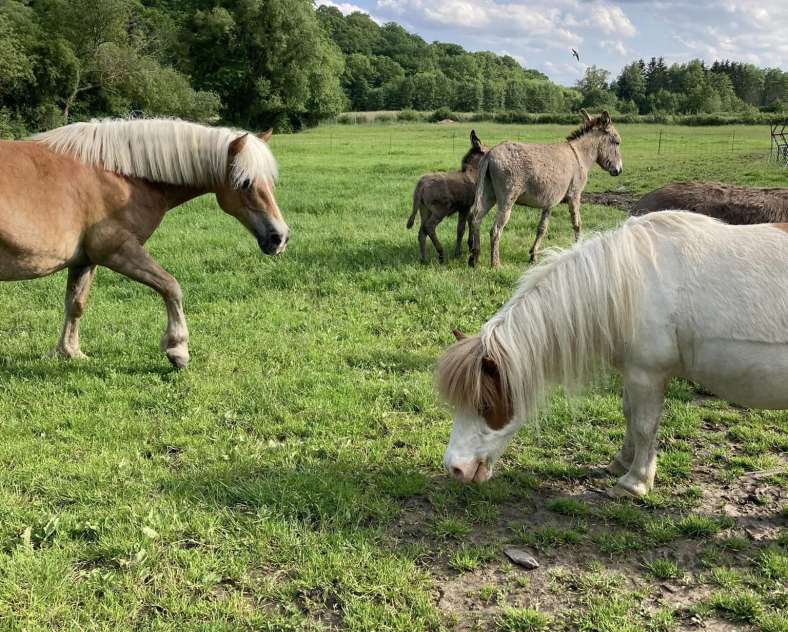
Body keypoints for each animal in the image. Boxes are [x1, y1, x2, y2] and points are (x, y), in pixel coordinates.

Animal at [0, 118, 288, 369]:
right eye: (245, 183)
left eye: (271, 182)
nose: (280, 237)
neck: (119, 175)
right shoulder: (117, 251)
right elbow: (171, 287)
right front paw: (178, 350)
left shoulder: (85, 260)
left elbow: (75, 304)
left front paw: (69, 352)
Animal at [406, 130, 488, 263]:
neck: (472, 175)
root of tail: (420, 185)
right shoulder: (464, 207)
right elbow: (460, 229)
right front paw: (458, 253)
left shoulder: (467, 208)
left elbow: (470, 221)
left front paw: (470, 245)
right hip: (440, 210)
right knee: (429, 227)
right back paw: (440, 253)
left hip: (424, 209)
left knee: (421, 232)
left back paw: (423, 259)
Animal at [437, 211, 788, 498]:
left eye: (484, 405)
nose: (455, 468)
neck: (629, 281)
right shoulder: (633, 373)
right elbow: (629, 415)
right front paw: (621, 462)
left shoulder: (647, 374)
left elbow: (644, 425)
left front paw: (635, 482)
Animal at [468, 110, 623, 268]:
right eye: (617, 142)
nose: (619, 170)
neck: (579, 155)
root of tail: (490, 153)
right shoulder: (574, 195)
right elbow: (577, 224)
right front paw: (578, 249)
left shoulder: (549, 203)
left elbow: (542, 228)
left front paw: (533, 256)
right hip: (507, 199)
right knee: (495, 229)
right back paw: (495, 264)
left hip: (489, 195)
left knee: (476, 218)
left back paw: (474, 257)